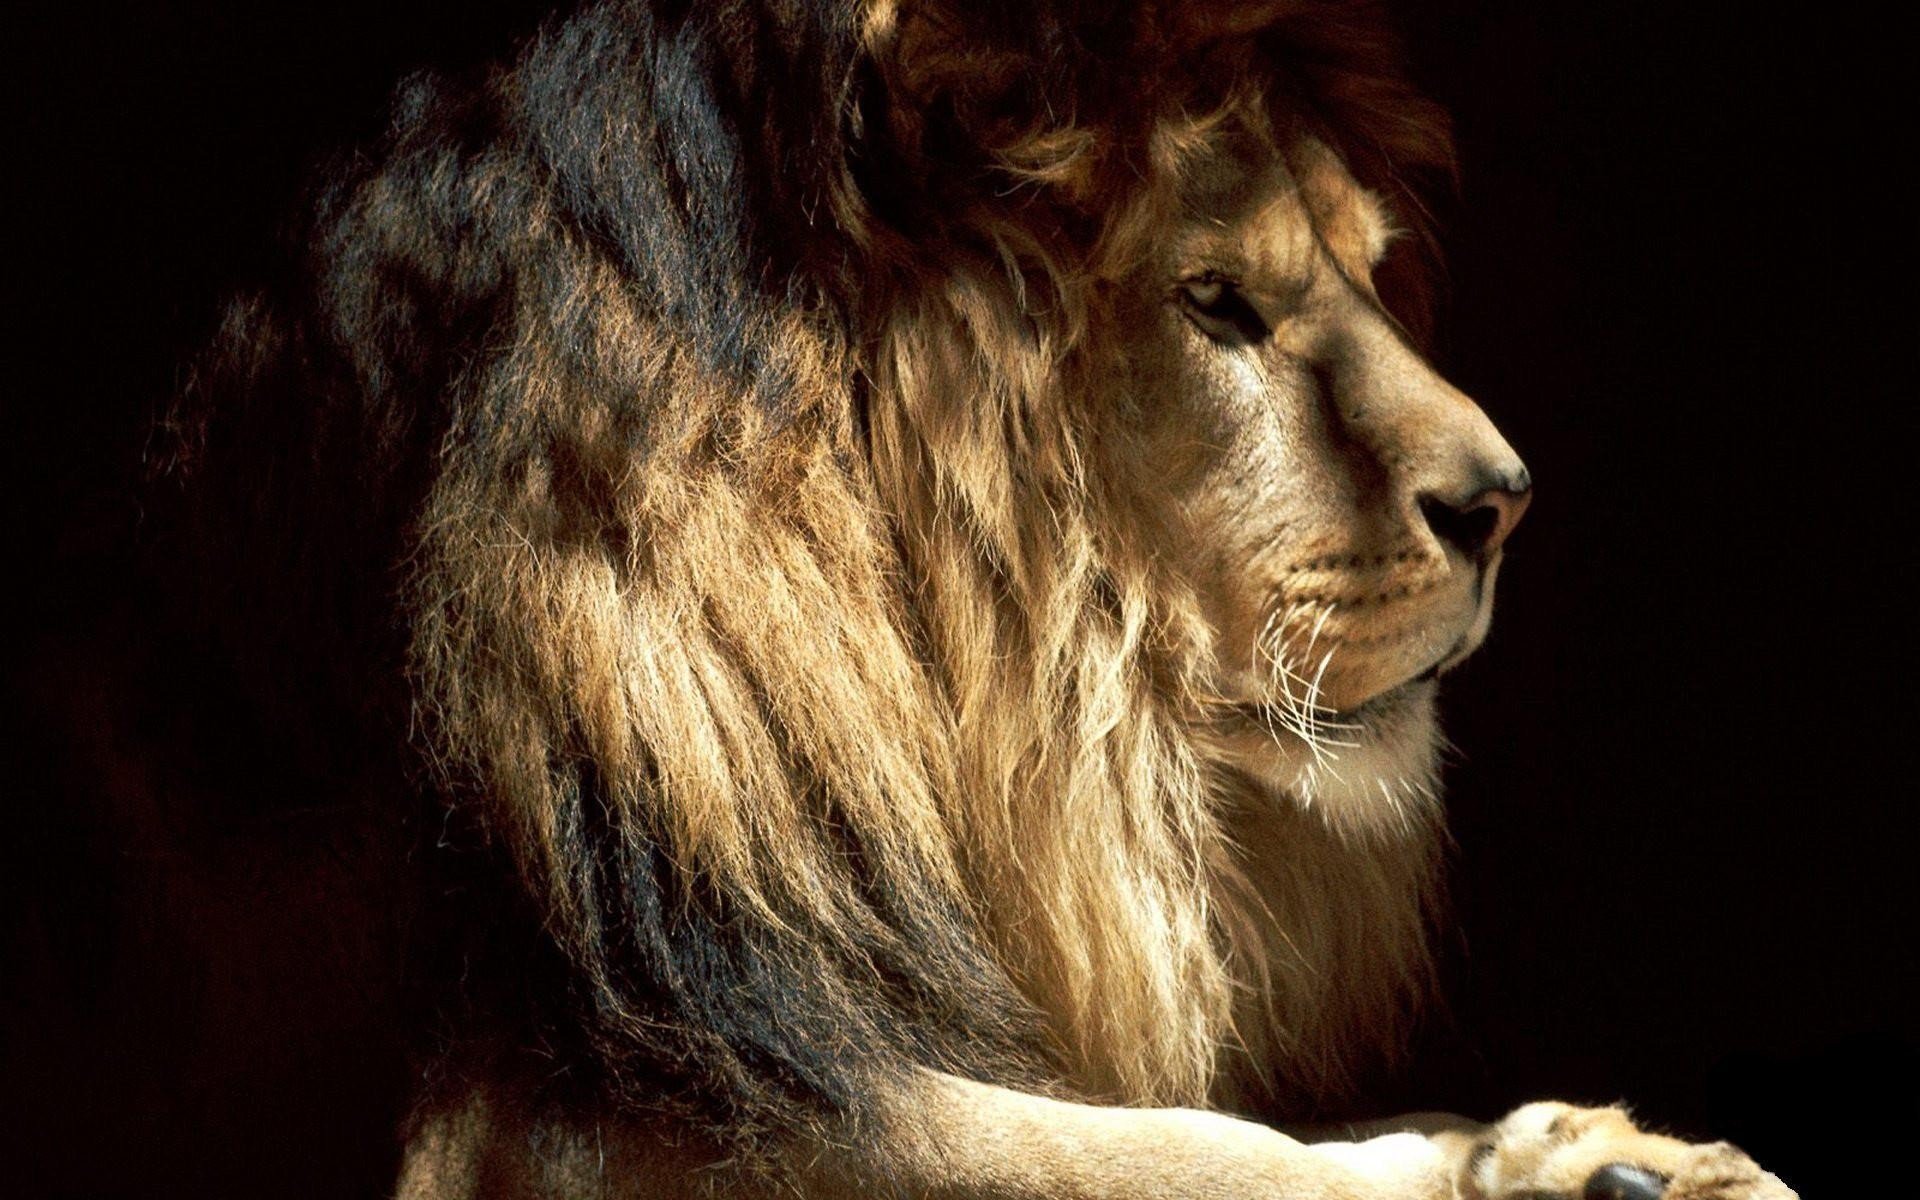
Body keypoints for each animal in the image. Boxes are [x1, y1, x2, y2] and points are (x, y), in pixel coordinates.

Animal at [23, 1, 1796, 1197]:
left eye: (1367, 270)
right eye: (1215, 301)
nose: (1503, 501)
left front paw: (1559, 1143)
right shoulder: (559, 1103)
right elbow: (1166, 1152)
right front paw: (1584, 1168)